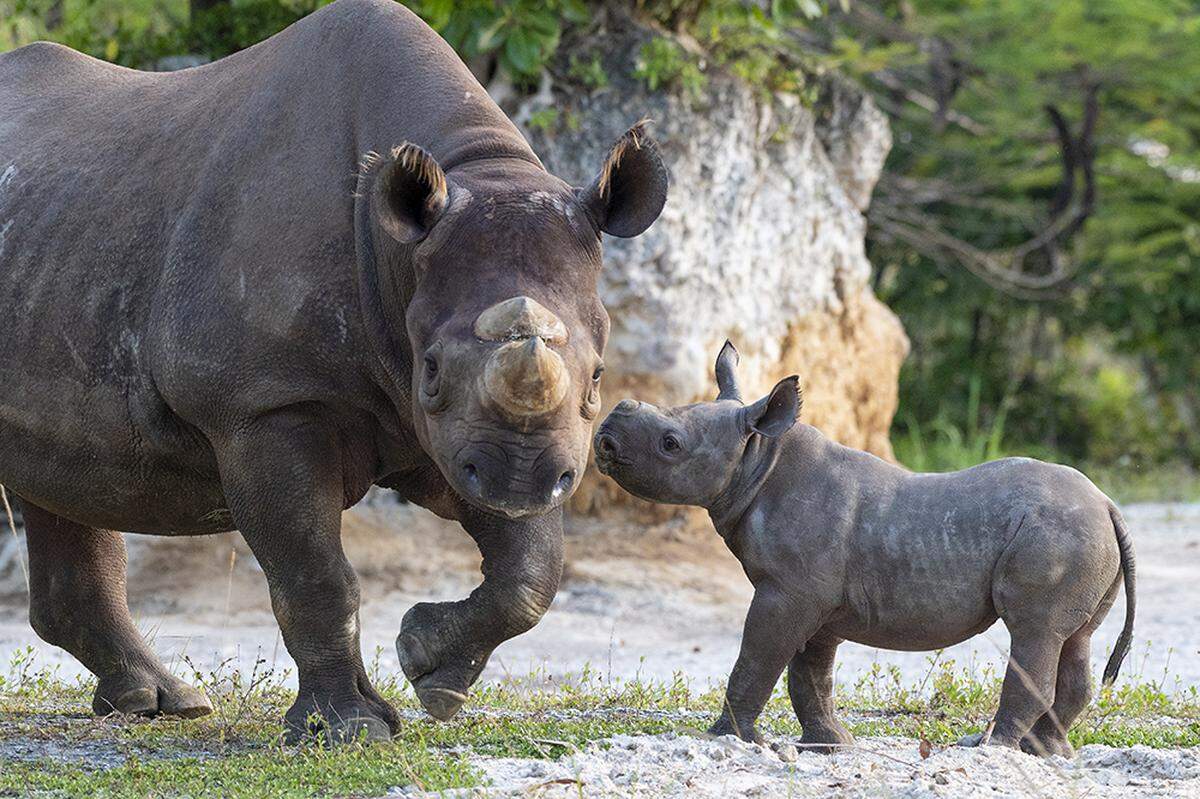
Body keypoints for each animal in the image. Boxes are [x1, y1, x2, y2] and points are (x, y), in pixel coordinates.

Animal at [0, 0, 666, 742]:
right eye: (432, 370)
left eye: (599, 377)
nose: (517, 482)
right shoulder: (265, 403)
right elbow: (315, 574)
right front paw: (347, 729)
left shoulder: (459, 432)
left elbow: (532, 569)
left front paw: (429, 667)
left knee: (62, 477)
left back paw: (161, 703)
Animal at [593, 342, 1136, 757]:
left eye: (670, 444)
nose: (604, 436)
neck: (757, 458)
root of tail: (1108, 503)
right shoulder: (812, 597)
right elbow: (809, 674)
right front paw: (828, 745)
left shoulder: (789, 591)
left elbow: (757, 658)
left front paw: (730, 740)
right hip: (1083, 537)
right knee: (1075, 640)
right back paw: (1045, 753)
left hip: (1057, 534)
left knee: (1035, 632)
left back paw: (988, 749)